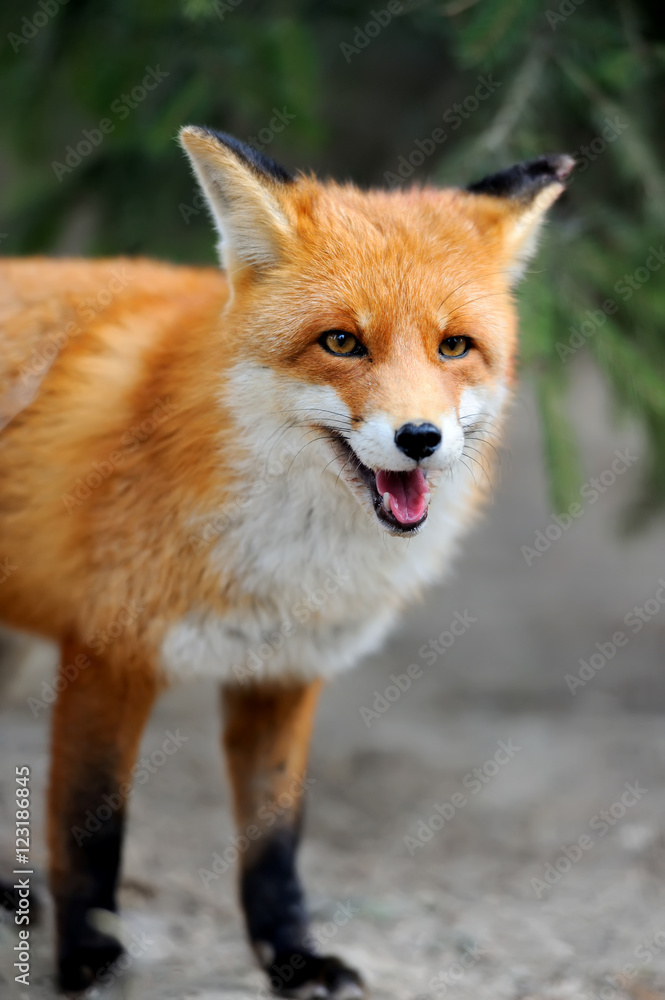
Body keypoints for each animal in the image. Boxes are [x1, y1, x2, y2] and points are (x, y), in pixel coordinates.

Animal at [0, 127, 573, 997]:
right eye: (340, 341)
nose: (419, 438)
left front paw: (294, 958)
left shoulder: (283, 669)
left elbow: (275, 843)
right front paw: (90, 963)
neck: (292, 560)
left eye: (454, 347)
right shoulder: (108, 652)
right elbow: (90, 829)